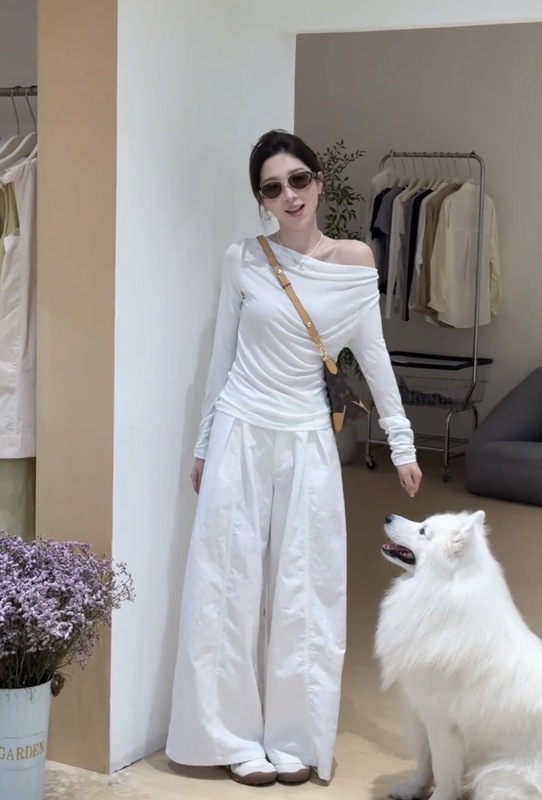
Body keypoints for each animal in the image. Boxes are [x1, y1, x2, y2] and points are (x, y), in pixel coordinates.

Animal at [374, 510, 542, 800]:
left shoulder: (442, 724)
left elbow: (441, 770)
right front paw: (411, 788)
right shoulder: (421, 712)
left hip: (496, 777)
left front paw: (439, 797)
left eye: (423, 531)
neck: (437, 590)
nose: (388, 516)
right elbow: (424, 762)